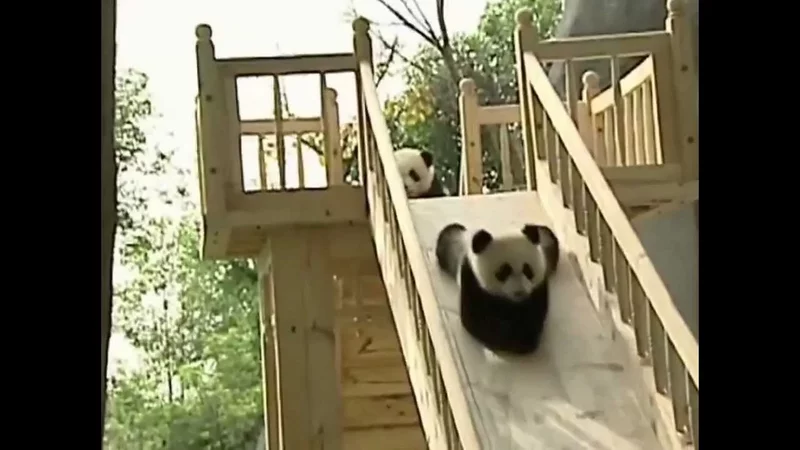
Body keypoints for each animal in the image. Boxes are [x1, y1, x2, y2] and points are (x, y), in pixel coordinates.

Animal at [435, 222, 560, 355]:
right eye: (503, 272)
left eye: (527, 270)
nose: (520, 292)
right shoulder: (471, 279)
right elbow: (477, 319)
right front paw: (510, 340)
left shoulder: (538, 287)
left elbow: (534, 314)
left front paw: (525, 338)